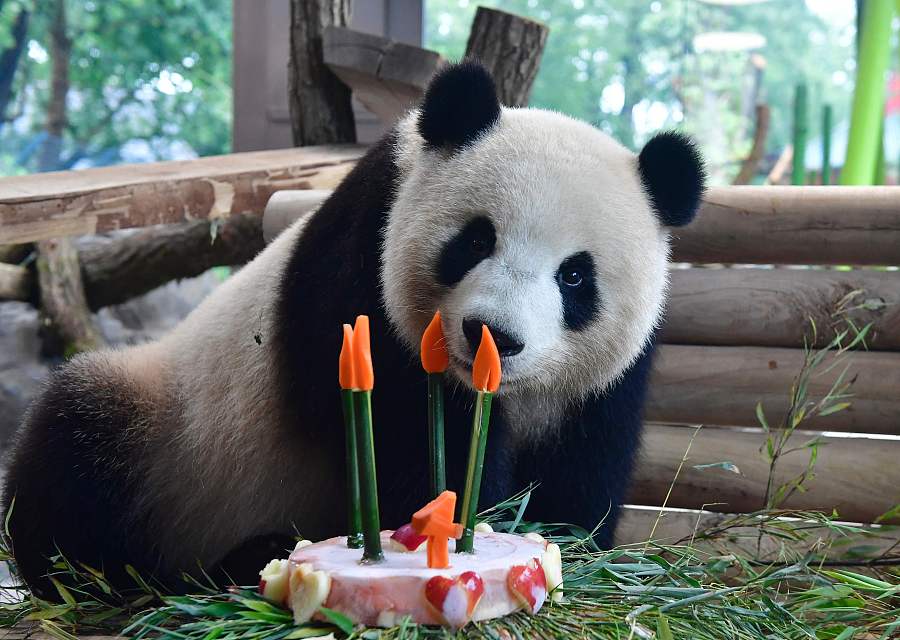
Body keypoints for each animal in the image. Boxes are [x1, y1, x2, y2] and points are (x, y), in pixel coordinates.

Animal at [1, 62, 704, 596]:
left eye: (576, 277)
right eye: (476, 239)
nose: (493, 337)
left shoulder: (608, 381)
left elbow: (585, 468)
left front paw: (564, 542)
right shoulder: (362, 278)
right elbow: (407, 439)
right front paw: (467, 520)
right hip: (168, 434)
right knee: (74, 449)